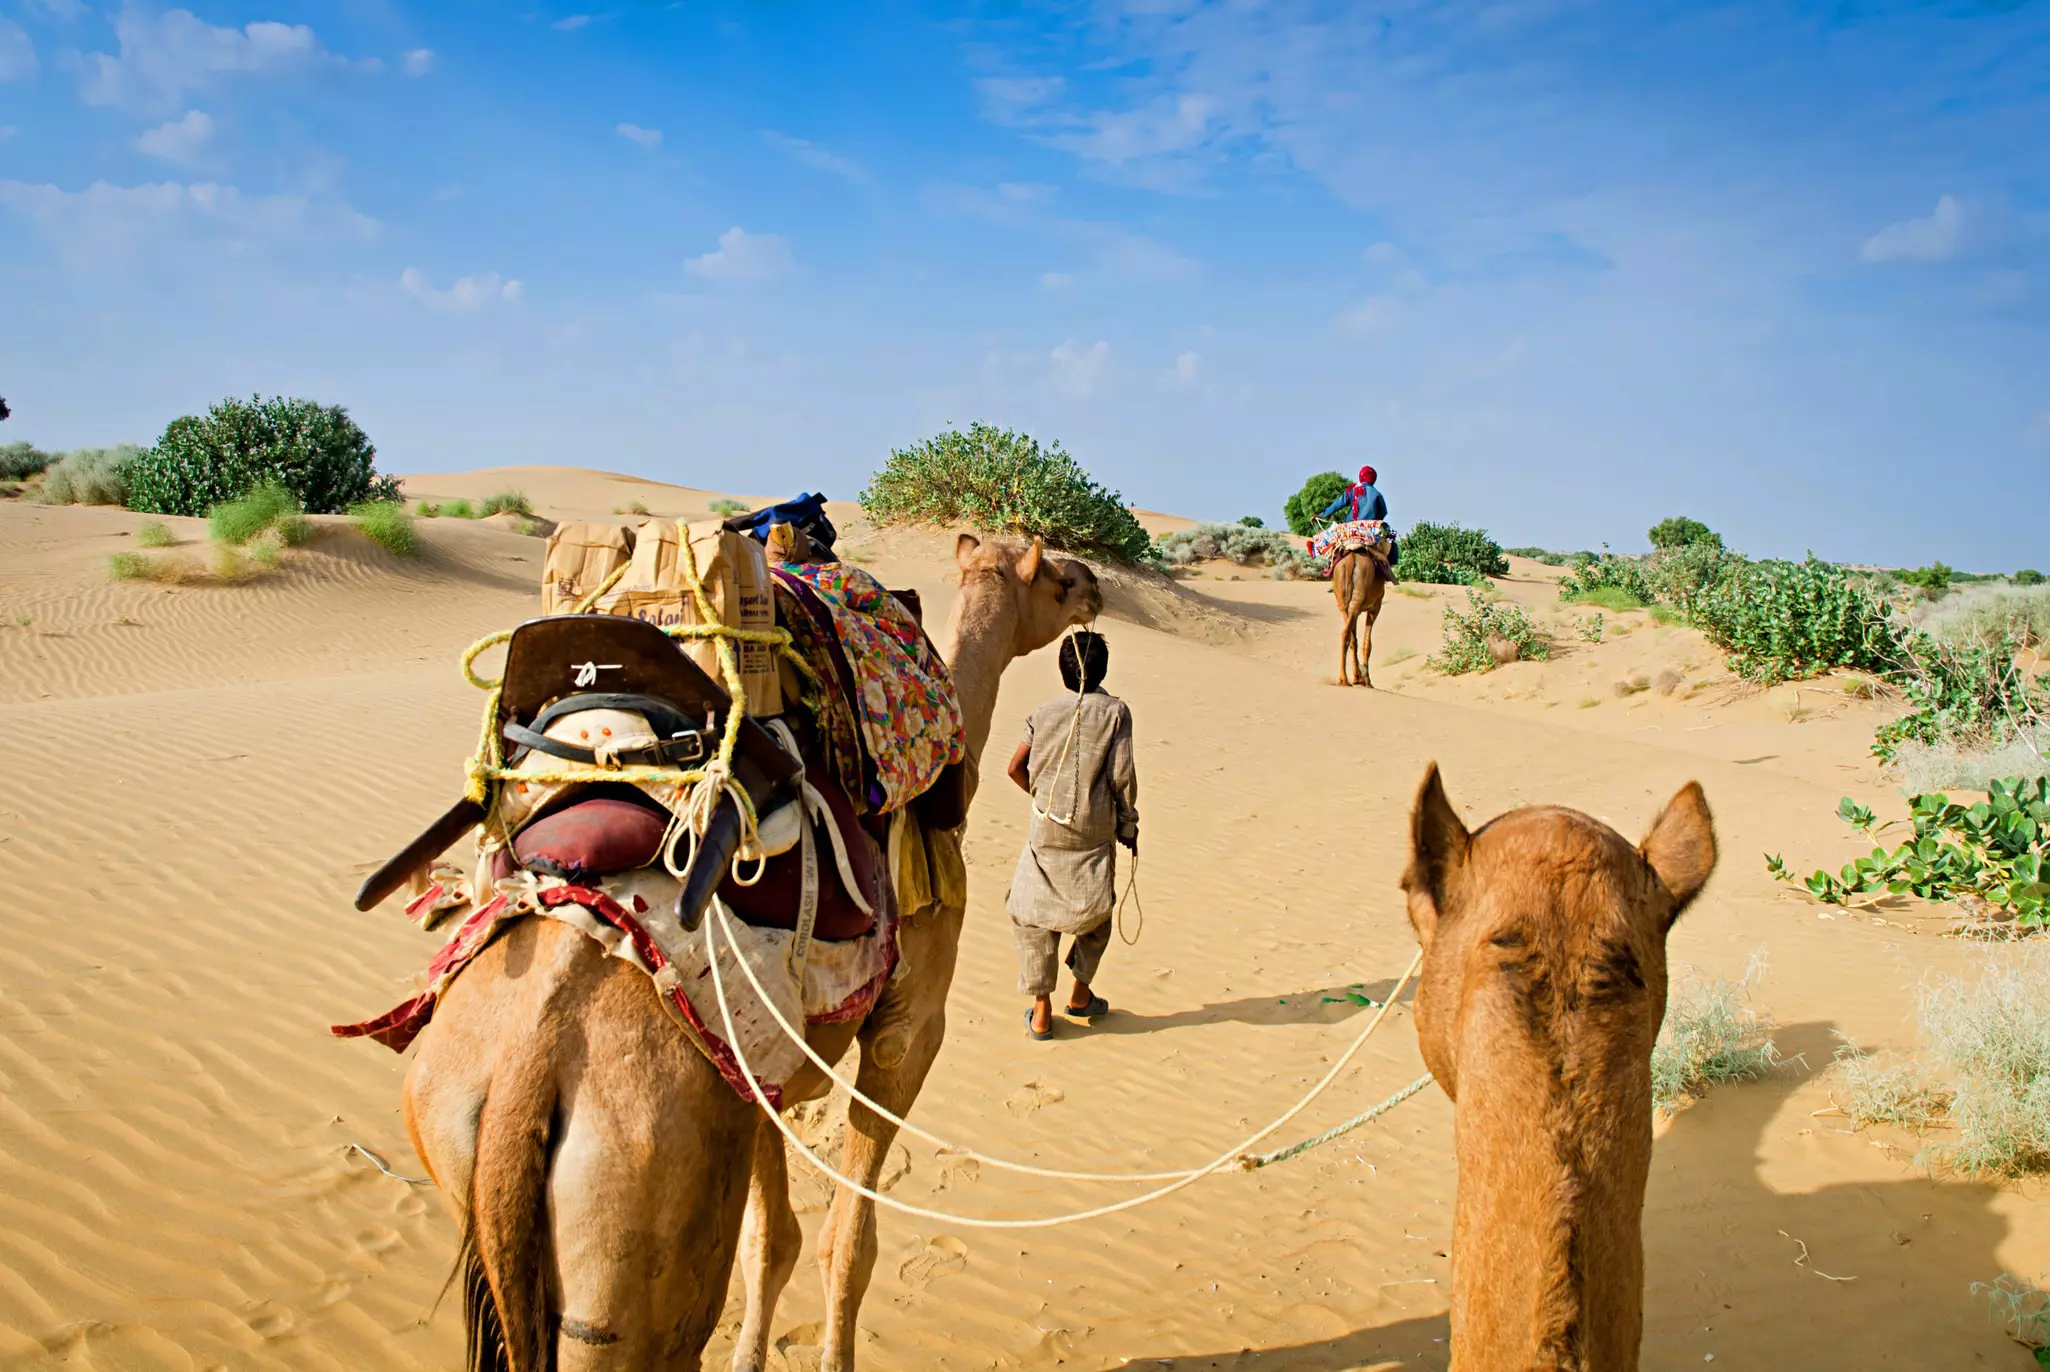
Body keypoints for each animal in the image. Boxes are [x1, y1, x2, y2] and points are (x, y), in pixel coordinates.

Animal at [401, 532, 1100, 1372]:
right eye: (1056, 576)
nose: (1096, 587)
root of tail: (519, 1089)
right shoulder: (906, 1031)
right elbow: (846, 1245)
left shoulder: (762, 1064)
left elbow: (771, 1241)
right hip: (635, 1239)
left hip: (459, 1153)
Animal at [1332, 546, 1390, 686]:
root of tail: (1351, 560)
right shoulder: (1375, 608)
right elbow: (1367, 643)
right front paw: (1367, 679)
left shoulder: (1356, 612)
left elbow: (1355, 641)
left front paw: (1358, 676)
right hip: (1359, 595)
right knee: (1346, 633)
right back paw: (1344, 679)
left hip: (1344, 601)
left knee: (1346, 634)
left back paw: (1344, 678)